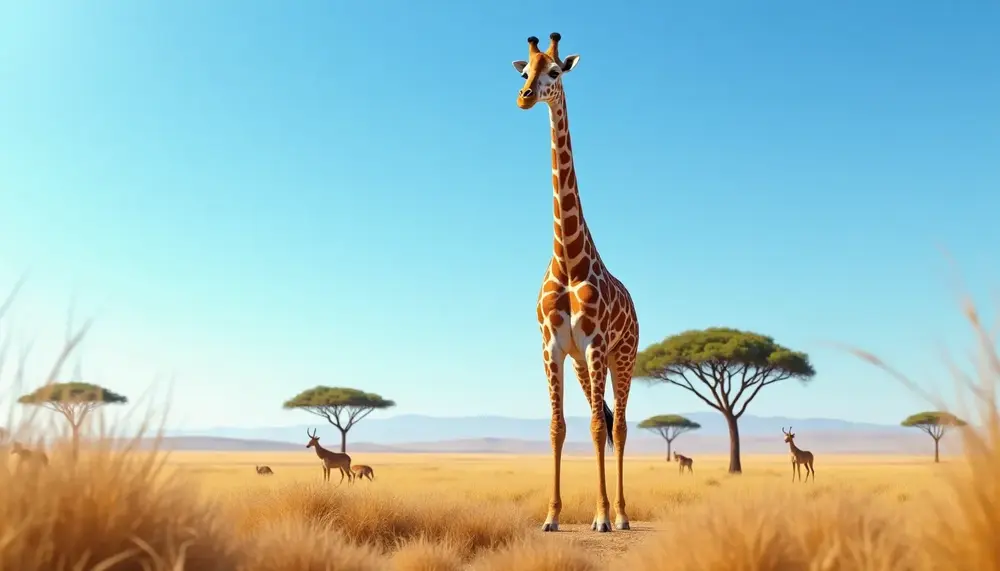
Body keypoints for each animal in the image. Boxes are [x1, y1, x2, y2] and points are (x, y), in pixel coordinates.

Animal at [512, 32, 640, 533]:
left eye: (555, 72)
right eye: (524, 70)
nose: (524, 97)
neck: (567, 260)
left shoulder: (596, 346)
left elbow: (598, 427)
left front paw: (602, 517)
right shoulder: (552, 348)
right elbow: (558, 427)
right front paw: (551, 516)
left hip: (623, 357)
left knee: (618, 425)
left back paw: (622, 515)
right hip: (586, 366)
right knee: (599, 420)